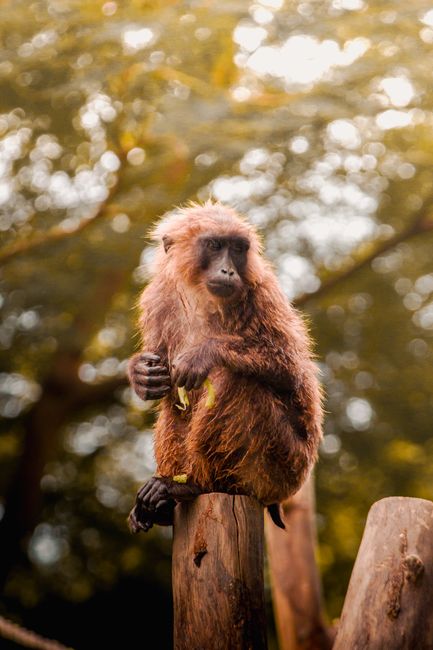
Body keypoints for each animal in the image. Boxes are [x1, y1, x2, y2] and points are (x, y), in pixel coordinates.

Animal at [127, 201, 323, 533]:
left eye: (237, 249)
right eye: (215, 246)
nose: (228, 270)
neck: (200, 298)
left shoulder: (262, 293)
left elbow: (292, 372)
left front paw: (204, 353)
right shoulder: (159, 298)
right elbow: (165, 383)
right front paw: (141, 374)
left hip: (283, 468)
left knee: (236, 381)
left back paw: (192, 485)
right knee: (176, 402)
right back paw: (167, 499)